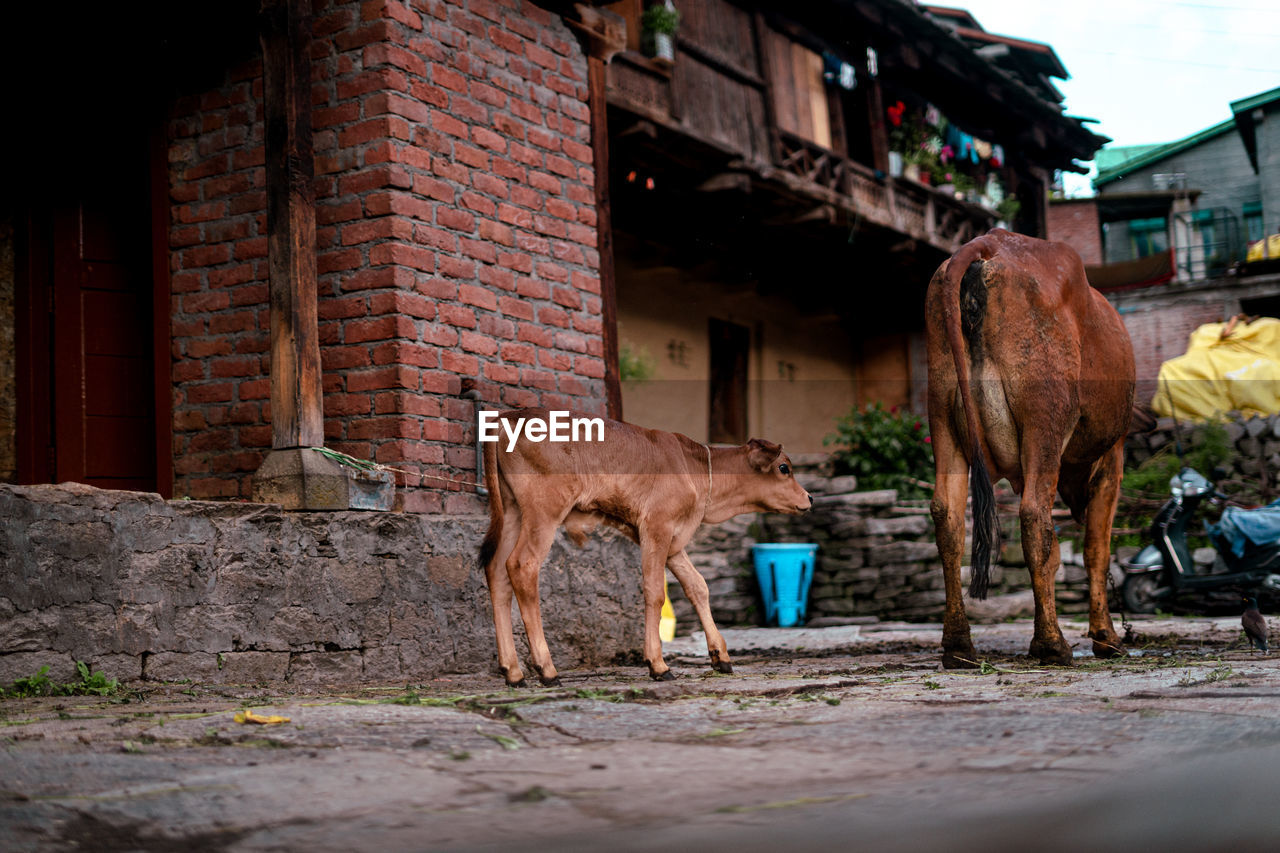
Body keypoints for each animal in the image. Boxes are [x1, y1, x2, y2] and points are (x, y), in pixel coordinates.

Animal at [481, 404, 808, 686]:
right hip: (545, 509)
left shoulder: (673, 539)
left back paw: (513, 672)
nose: (810, 497)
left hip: (512, 511)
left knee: (496, 570)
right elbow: (654, 591)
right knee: (522, 565)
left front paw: (720, 656)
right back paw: (547, 669)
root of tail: (506, 417)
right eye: (784, 468)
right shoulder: (656, 527)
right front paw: (658, 664)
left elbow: (698, 586)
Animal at [926, 229, 1136, 666]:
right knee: (1034, 517)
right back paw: (1051, 644)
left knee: (948, 518)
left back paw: (959, 646)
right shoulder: (1113, 456)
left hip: (942, 415)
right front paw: (1106, 637)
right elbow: (1095, 548)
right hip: (1046, 417)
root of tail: (989, 243)